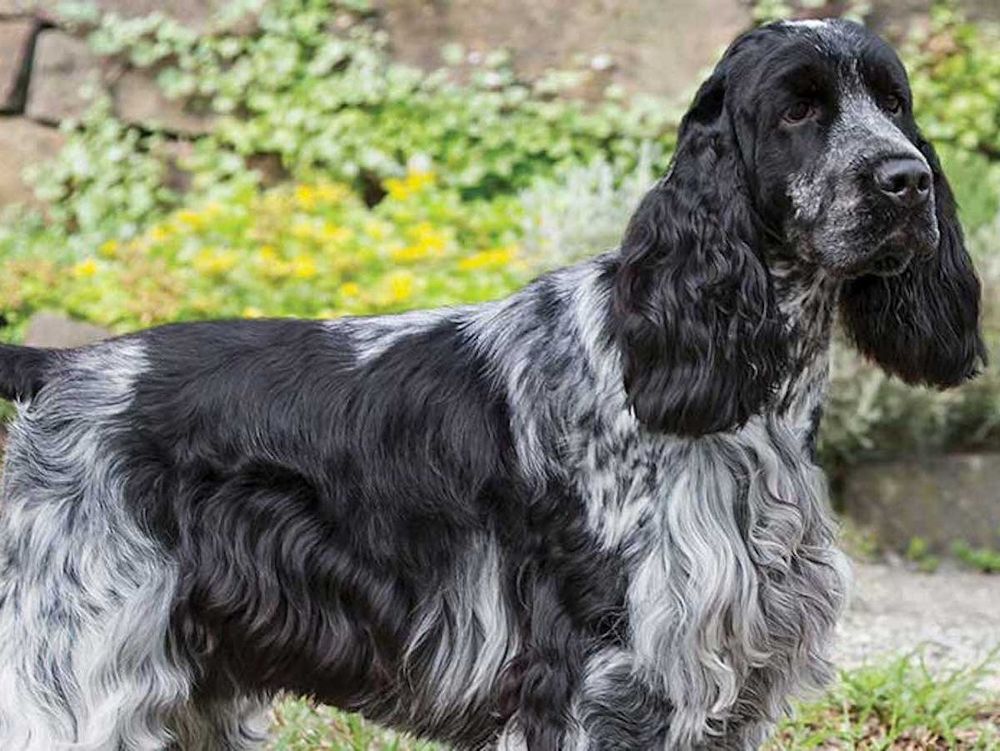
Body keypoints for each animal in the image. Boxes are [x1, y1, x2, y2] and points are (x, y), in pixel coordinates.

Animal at [0, 17, 984, 751]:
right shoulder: (600, 676)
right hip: (79, 675)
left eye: (894, 103)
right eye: (797, 110)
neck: (755, 400)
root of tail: (64, 368)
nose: (909, 180)